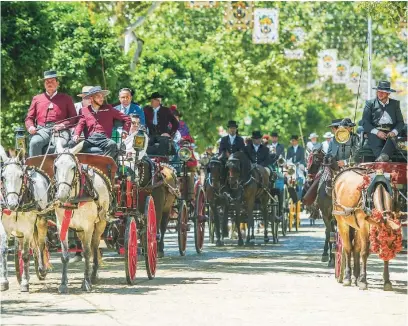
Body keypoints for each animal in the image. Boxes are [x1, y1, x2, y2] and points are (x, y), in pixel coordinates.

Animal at [0, 146, 50, 292]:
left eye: (21, 176)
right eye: (3, 177)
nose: (11, 204)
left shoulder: (28, 229)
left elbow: (26, 254)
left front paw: (25, 283)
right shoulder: (4, 227)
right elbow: (4, 251)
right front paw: (4, 281)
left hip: (41, 221)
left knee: (40, 244)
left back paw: (41, 268)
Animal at [54, 140, 112, 292]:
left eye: (73, 167)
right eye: (56, 166)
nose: (61, 195)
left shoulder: (88, 226)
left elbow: (87, 252)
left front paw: (86, 282)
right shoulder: (62, 225)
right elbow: (65, 255)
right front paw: (63, 283)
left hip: (100, 224)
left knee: (94, 246)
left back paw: (92, 275)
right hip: (80, 230)